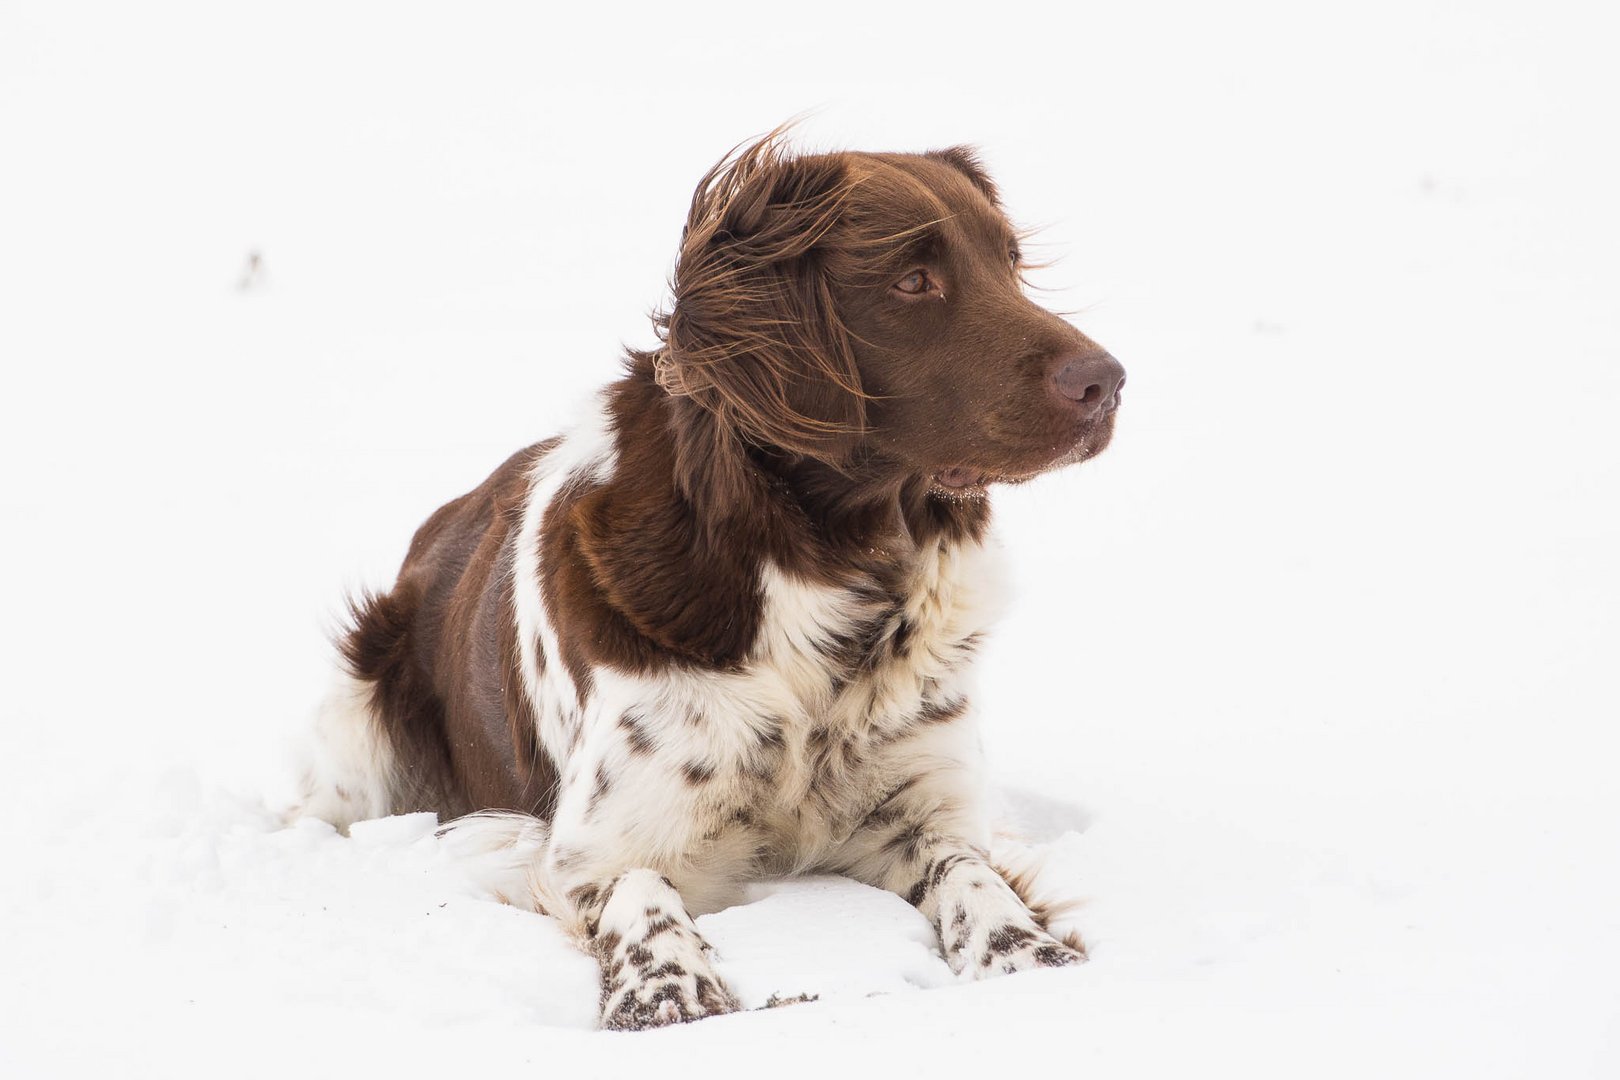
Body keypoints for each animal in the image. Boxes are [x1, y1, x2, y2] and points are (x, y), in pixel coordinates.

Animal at [294, 135, 1127, 1029]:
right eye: (912, 280)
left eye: (1009, 263)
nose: (1109, 382)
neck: (834, 576)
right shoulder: (600, 840)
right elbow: (639, 889)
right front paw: (667, 985)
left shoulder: (924, 808)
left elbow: (969, 872)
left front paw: (1023, 953)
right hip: (360, 718)